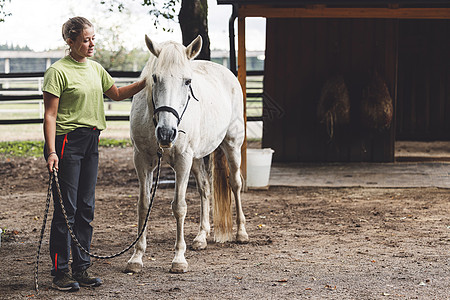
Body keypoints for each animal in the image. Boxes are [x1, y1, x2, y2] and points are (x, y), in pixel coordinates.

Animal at [125, 34, 248, 274]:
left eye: (188, 81)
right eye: (155, 78)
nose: (166, 133)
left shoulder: (182, 160)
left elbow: (179, 207)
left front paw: (178, 259)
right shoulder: (142, 161)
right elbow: (143, 205)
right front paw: (136, 257)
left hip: (232, 145)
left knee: (235, 184)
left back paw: (241, 233)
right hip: (198, 158)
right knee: (205, 189)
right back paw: (201, 237)